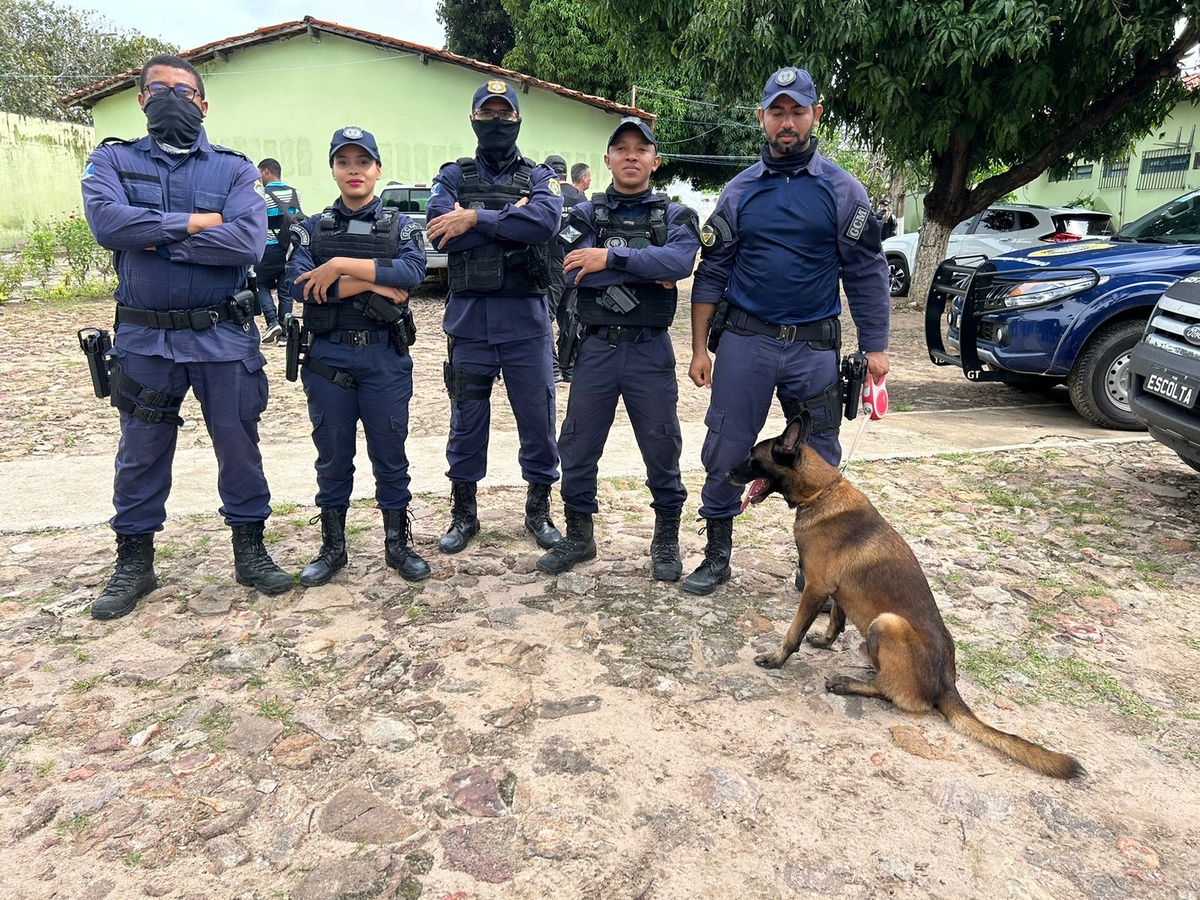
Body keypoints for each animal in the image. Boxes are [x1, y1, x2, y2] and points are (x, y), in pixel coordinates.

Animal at [729, 412, 1089, 777]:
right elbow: (837, 619)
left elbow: (793, 632)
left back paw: (848, 682)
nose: (727, 473)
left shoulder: (816, 588)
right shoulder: (837, 591)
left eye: (752, 458)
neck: (820, 494)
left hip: (886, 623)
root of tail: (946, 685)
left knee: (893, 694)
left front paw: (776, 659)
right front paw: (826, 641)